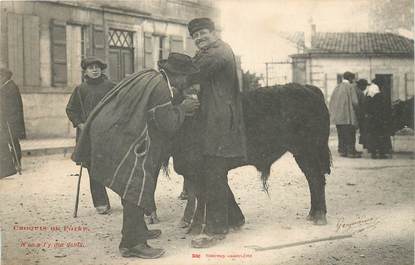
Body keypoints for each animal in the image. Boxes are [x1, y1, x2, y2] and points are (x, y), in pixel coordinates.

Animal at [169, 82, 332, 229]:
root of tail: (309, 89)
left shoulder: (202, 170)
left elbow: (206, 195)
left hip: (308, 151)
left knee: (316, 178)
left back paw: (319, 216)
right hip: (301, 154)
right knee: (312, 178)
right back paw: (312, 214)